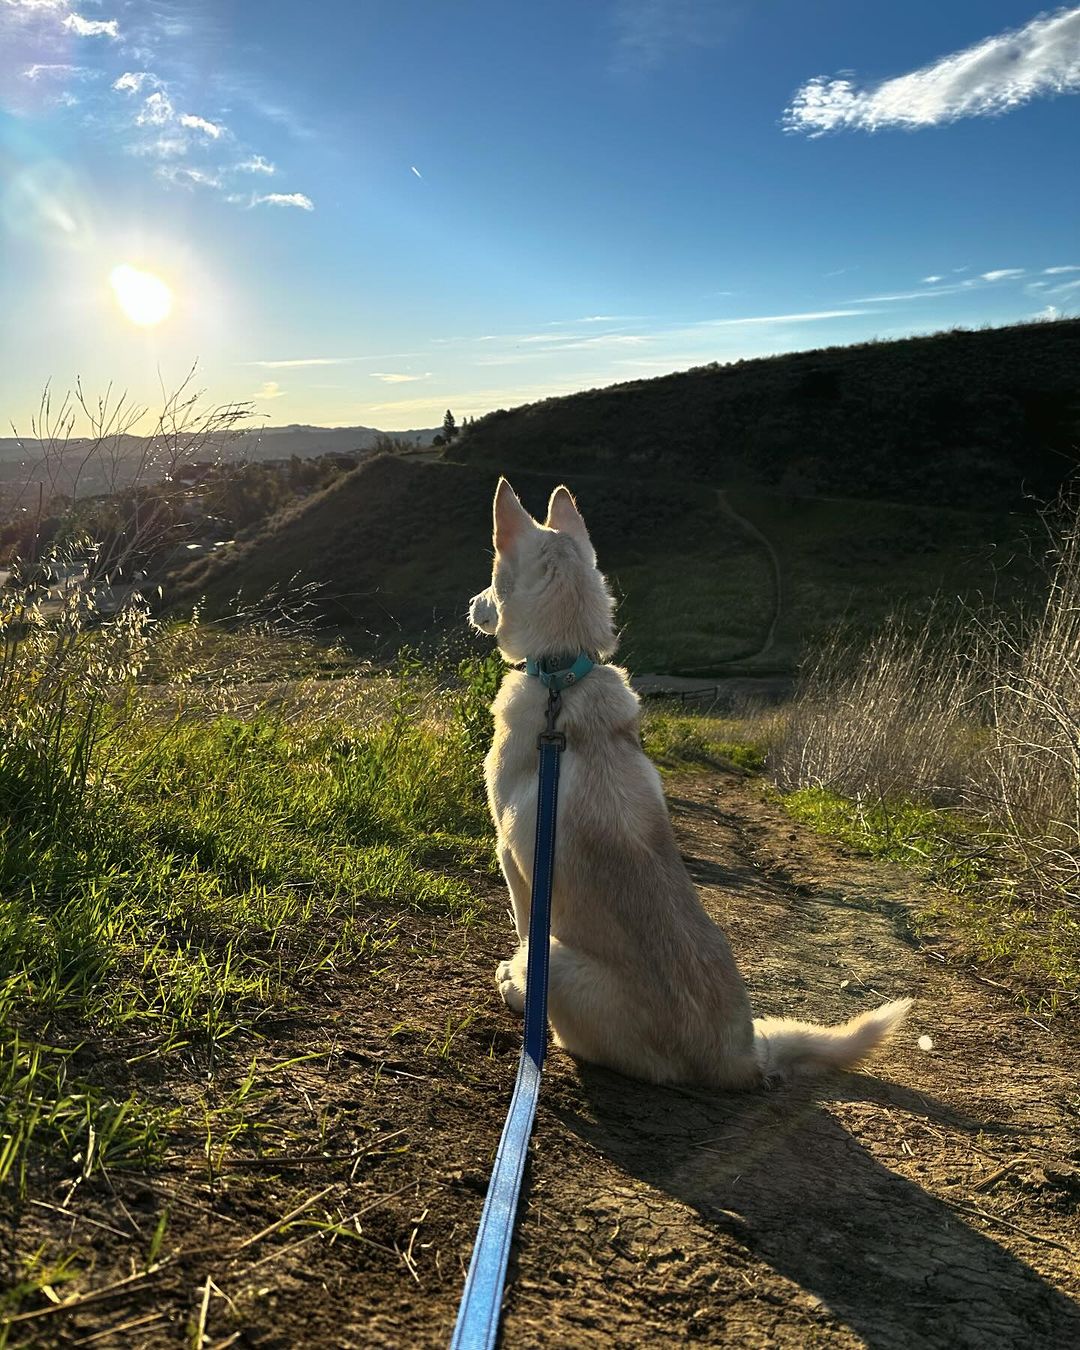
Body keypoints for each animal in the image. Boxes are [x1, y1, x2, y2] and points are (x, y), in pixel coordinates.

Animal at [467, 480, 907, 1090]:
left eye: (491, 574)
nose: (472, 604)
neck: (564, 677)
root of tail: (738, 1056)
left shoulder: (512, 858)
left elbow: (521, 924)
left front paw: (512, 978)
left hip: (559, 960)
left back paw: (524, 994)